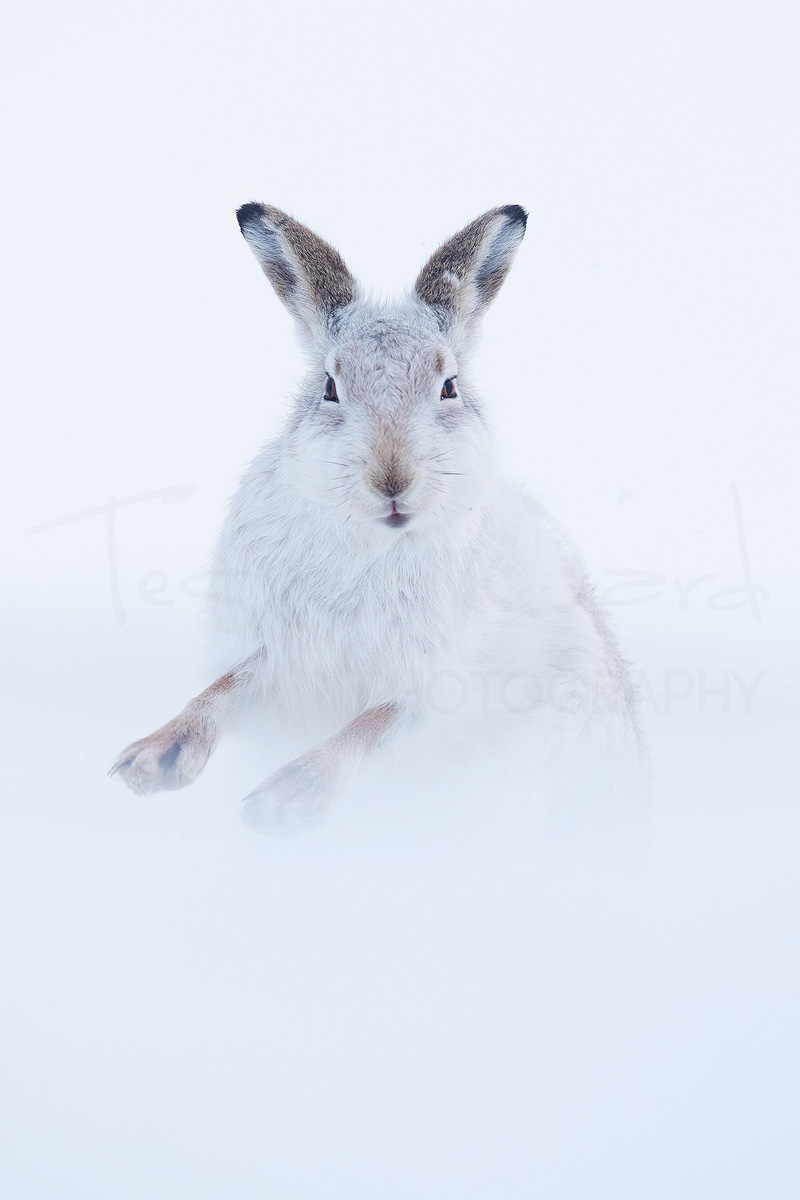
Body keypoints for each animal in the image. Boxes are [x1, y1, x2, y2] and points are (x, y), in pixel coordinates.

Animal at [110, 203, 649, 836]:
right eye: (329, 386)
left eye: (449, 386)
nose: (392, 481)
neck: (375, 541)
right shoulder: (275, 656)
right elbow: (224, 689)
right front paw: (152, 761)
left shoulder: (441, 688)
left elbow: (375, 724)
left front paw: (287, 801)